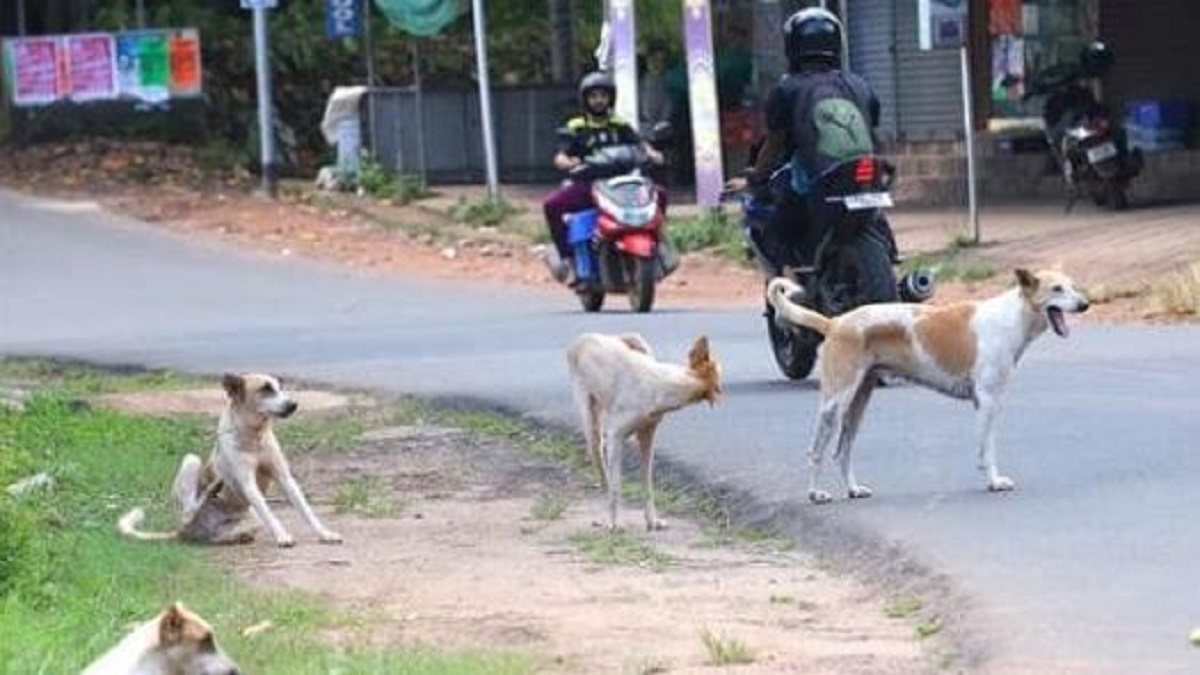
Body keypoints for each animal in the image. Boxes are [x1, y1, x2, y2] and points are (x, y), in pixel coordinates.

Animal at [119, 372, 343, 547]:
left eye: (280, 388)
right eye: (266, 389)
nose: (294, 404)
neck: (255, 436)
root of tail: (184, 531)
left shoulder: (285, 478)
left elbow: (306, 510)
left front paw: (325, 533)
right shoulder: (248, 483)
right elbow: (270, 514)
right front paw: (282, 536)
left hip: (249, 519)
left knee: (220, 537)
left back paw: (236, 534)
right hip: (191, 461)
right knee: (189, 510)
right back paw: (211, 491)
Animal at [564, 333, 720, 528]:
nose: (704, 338)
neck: (661, 385)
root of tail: (584, 337)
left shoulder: (647, 436)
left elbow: (647, 483)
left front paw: (651, 519)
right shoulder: (615, 438)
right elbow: (616, 486)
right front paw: (615, 522)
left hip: (639, 342)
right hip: (593, 431)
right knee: (604, 477)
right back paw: (606, 517)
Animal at [768, 266, 1089, 499]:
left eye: (1073, 286)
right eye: (1056, 289)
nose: (1085, 304)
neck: (1013, 317)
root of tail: (835, 323)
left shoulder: (985, 403)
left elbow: (984, 447)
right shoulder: (987, 400)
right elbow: (988, 449)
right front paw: (995, 482)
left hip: (857, 405)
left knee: (842, 452)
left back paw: (853, 489)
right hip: (835, 405)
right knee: (816, 451)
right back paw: (815, 494)